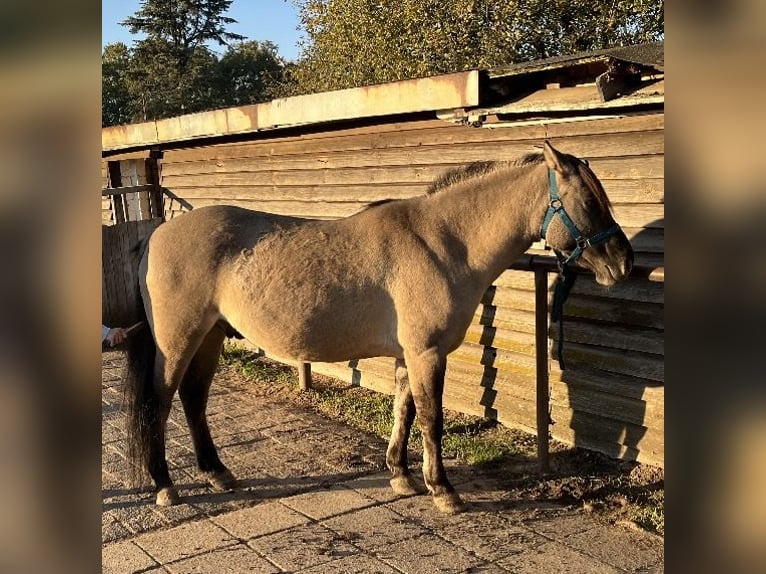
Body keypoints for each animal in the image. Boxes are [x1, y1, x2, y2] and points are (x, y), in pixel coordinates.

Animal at [121, 142, 636, 516]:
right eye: (589, 201)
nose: (623, 263)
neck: (443, 241)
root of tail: (156, 235)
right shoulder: (428, 352)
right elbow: (431, 419)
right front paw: (443, 491)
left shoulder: (410, 354)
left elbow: (403, 411)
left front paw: (401, 476)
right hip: (178, 340)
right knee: (159, 402)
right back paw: (166, 485)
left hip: (209, 338)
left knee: (194, 401)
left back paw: (217, 472)